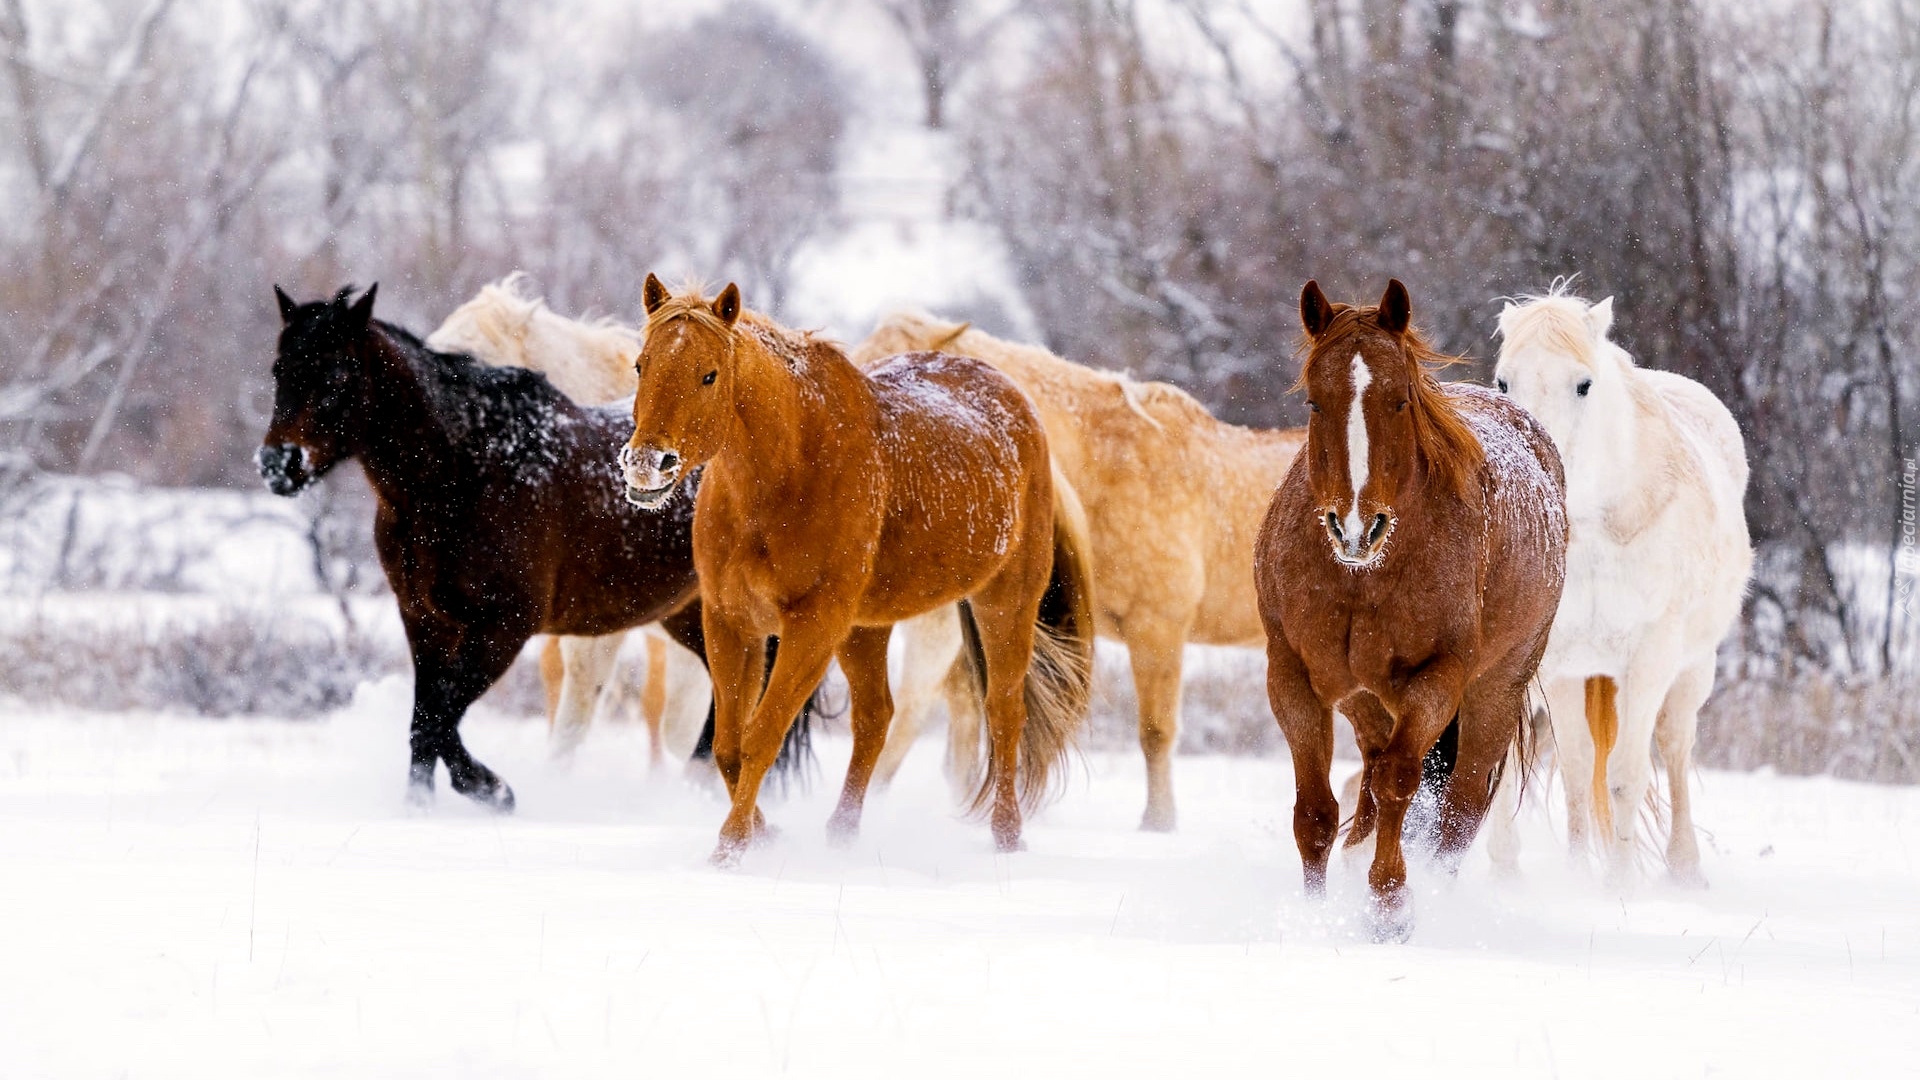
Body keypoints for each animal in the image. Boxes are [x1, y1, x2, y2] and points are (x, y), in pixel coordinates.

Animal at [253, 282, 810, 803]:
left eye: (335, 377)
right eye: (279, 370)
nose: (277, 464)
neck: (467, 473)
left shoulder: (506, 628)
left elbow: (441, 719)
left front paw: (492, 790)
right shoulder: (425, 622)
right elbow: (425, 723)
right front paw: (422, 807)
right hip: (686, 615)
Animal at [618, 272, 1090, 860]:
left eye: (709, 375)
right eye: (642, 365)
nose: (645, 465)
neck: (787, 476)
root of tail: (1015, 402)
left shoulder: (811, 626)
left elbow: (761, 736)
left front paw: (730, 848)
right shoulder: (731, 622)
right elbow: (729, 744)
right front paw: (761, 834)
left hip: (1005, 603)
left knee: (1004, 712)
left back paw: (1007, 836)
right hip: (866, 628)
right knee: (875, 718)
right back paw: (841, 835)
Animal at [1251, 278, 1566, 933]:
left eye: (1399, 401)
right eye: (1315, 403)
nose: (1354, 527)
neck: (1361, 579)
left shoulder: (1439, 677)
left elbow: (1401, 780)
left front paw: (1389, 905)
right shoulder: (1291, 675)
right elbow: (1315, 812)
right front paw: (1317, 914)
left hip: (1494, 692)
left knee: (1458, 810)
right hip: (1367, 699)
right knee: (1373, 779)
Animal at [1482, 286, 1758, 883]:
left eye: (1583, 384)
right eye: (1503, 382)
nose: (1532, 468)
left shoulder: (1650, 657)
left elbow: (1627, 775)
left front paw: (1618, 886)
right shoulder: (1554, 661)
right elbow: (1570, 767)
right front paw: (1569, 877)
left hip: (1691, 668)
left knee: (1674, 747)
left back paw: (1685, 870)